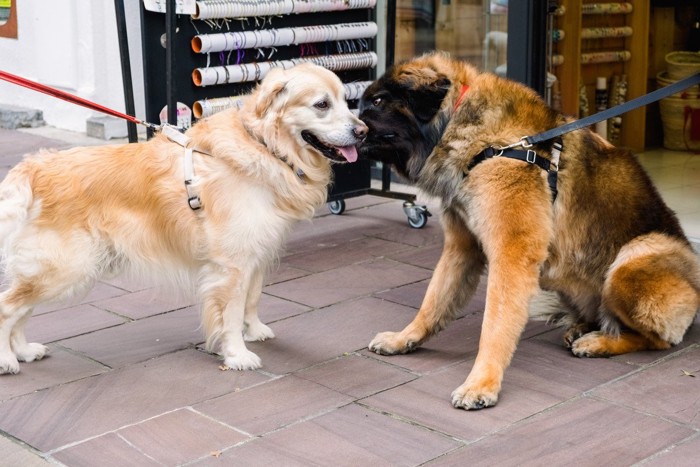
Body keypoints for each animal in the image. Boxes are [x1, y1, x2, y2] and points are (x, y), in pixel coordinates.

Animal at [0, 63, 370, 376]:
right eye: (321, 105)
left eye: (345, 99)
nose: (364, 131)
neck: (265, 147)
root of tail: (33, 168)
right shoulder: (231, 265)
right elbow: (231, 314)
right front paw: (237, 354)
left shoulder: (256, 255)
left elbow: (252, 300)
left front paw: (254, 330)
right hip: (66, 269)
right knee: (6, 308)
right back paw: (7, 360)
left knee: (21, 310)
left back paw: (25, 350)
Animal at [358, 51, 696, 410]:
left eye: (378, 101)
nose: (351, 126)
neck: (479, 136)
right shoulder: (461, 249)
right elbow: (433, 301)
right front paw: (404, 338)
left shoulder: (511, 256)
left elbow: (494, 324)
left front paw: (482, 383)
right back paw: (584, 328)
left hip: (632, 260)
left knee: (659, 340)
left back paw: (600, 342)